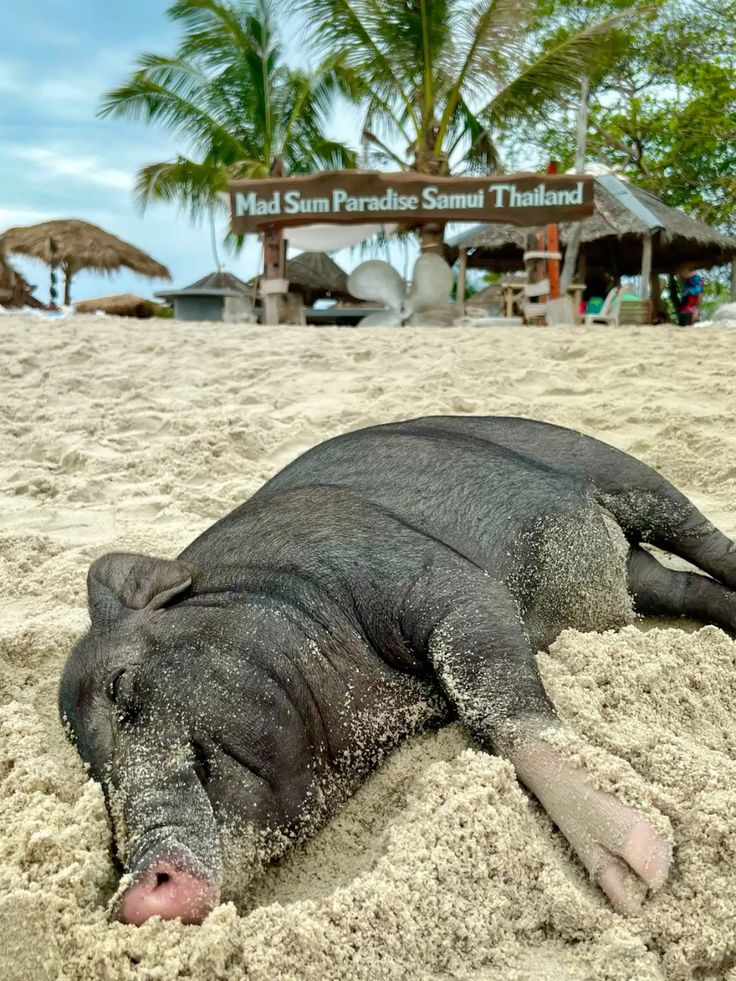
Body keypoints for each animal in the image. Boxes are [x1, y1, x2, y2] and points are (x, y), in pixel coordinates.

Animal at [59, 416, 736, 925]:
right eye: (96, 780)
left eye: (121, 687)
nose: (133, 896)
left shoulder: (425, 575)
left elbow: (492, 701)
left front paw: (641, 876)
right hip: (639, 578)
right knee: (684, 589)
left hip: (614, 469)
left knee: (704, 541)